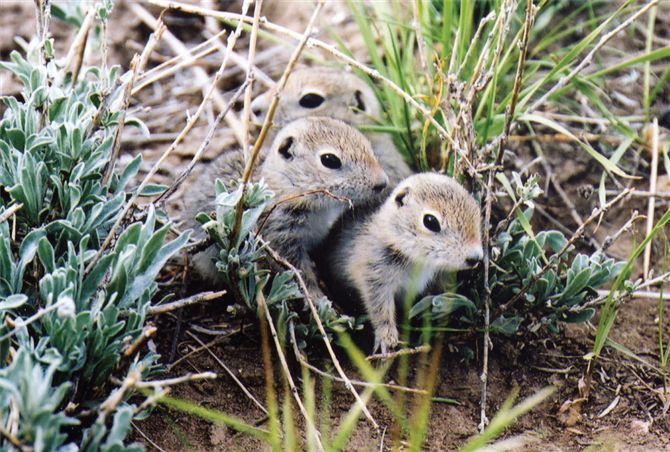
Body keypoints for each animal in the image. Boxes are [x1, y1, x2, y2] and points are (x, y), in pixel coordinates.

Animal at [184, 115, 388, 296]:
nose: (382, 183)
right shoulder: (282, 240)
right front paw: (317, 299)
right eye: (329, 160)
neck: (288, 187)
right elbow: (300, 274)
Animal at [320, 173, 484, 354]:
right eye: (430, 221)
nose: (475, 258)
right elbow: (380, 309)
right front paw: (387, 340)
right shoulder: (375, 277)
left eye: (476, 210)